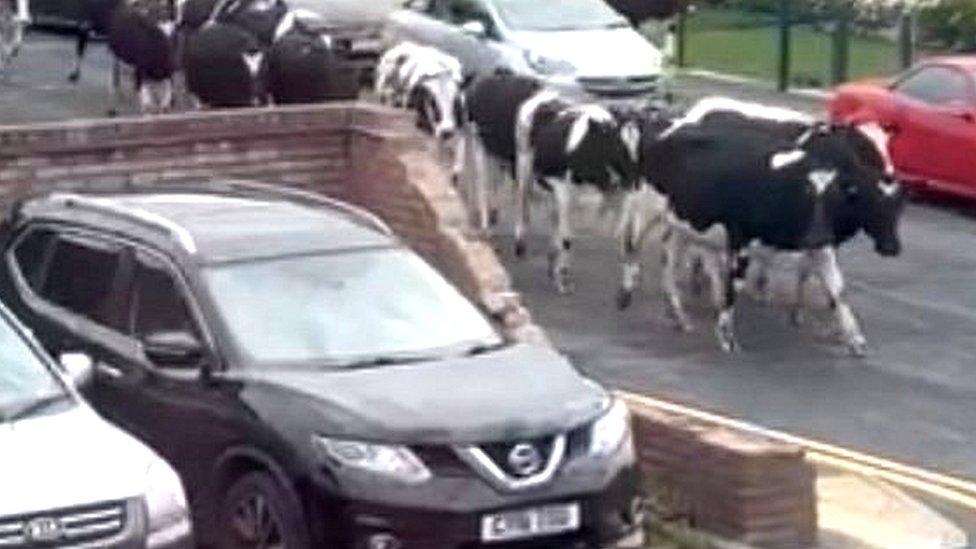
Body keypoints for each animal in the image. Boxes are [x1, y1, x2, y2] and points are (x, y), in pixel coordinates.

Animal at [616, 98, 908, 356]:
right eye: (871, 201)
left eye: (897, 208)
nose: (891, 247)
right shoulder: (741, 239)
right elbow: (736, 288)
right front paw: (728, 338)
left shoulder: (822, 244)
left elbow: (838, 289)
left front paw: (854, 338)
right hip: (646, 205)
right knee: (633, 245)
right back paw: (627, 296)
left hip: (686, 219)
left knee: (672, 256)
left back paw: (680, 312)